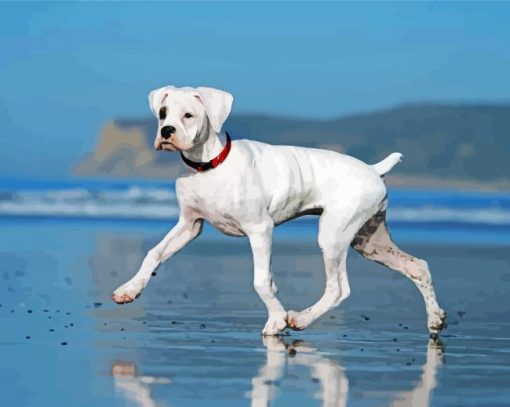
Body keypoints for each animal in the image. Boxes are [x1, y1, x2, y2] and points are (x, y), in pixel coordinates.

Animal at [111, 86, 446, 338]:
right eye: (163, 113)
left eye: (188, 115)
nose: (166, 131)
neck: (209, 166)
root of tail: (374, 170)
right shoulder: (189, 225)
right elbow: (153, 254)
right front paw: (130, 289)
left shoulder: (260, 230)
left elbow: (260, 281)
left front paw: (276, 320)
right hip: (370, 241)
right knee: (418, 266)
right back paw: (435, 319)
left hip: (333, 235)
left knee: (338, 288)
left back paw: (300, 318)